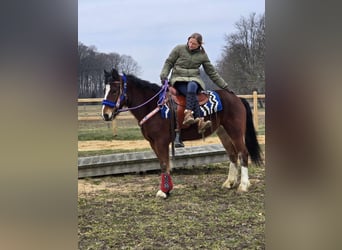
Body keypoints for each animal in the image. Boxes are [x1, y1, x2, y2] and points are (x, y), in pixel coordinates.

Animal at [101, 68, 262, 199]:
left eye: (114, 90)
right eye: (105, 90)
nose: (105, 115)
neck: (154, 106)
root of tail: (237, 98)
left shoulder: (161, 141)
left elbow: (164, 164)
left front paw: (163, 191)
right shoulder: (153, 143)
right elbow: (163, 163)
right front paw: (167, 189)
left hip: (235, 131)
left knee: (243, 153)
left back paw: (243, 185)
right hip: (223, 132)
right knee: (233, 154)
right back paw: (229, 182)